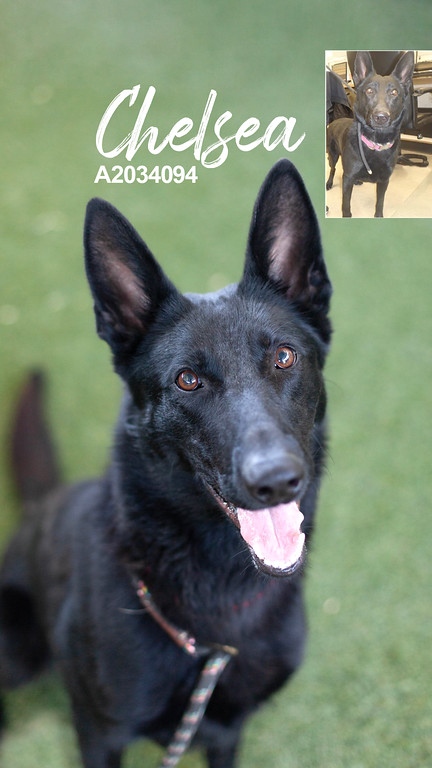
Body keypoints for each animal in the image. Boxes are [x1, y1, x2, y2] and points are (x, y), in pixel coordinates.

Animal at [0, 162, 332, 768]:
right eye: (188, 380)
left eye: (284, 356)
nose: (275, 480)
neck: (217, 622)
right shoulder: (100, 735)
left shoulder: (226, 731)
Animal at [328, 48, 416, 216]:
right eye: (369, 91)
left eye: (394, 92)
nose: (381, 117)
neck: (376, 143)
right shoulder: (347, 178)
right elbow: (346, 204)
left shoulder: (384, 181)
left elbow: (379, 203)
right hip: (333, 155)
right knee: (332, 169)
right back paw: (329, 183)